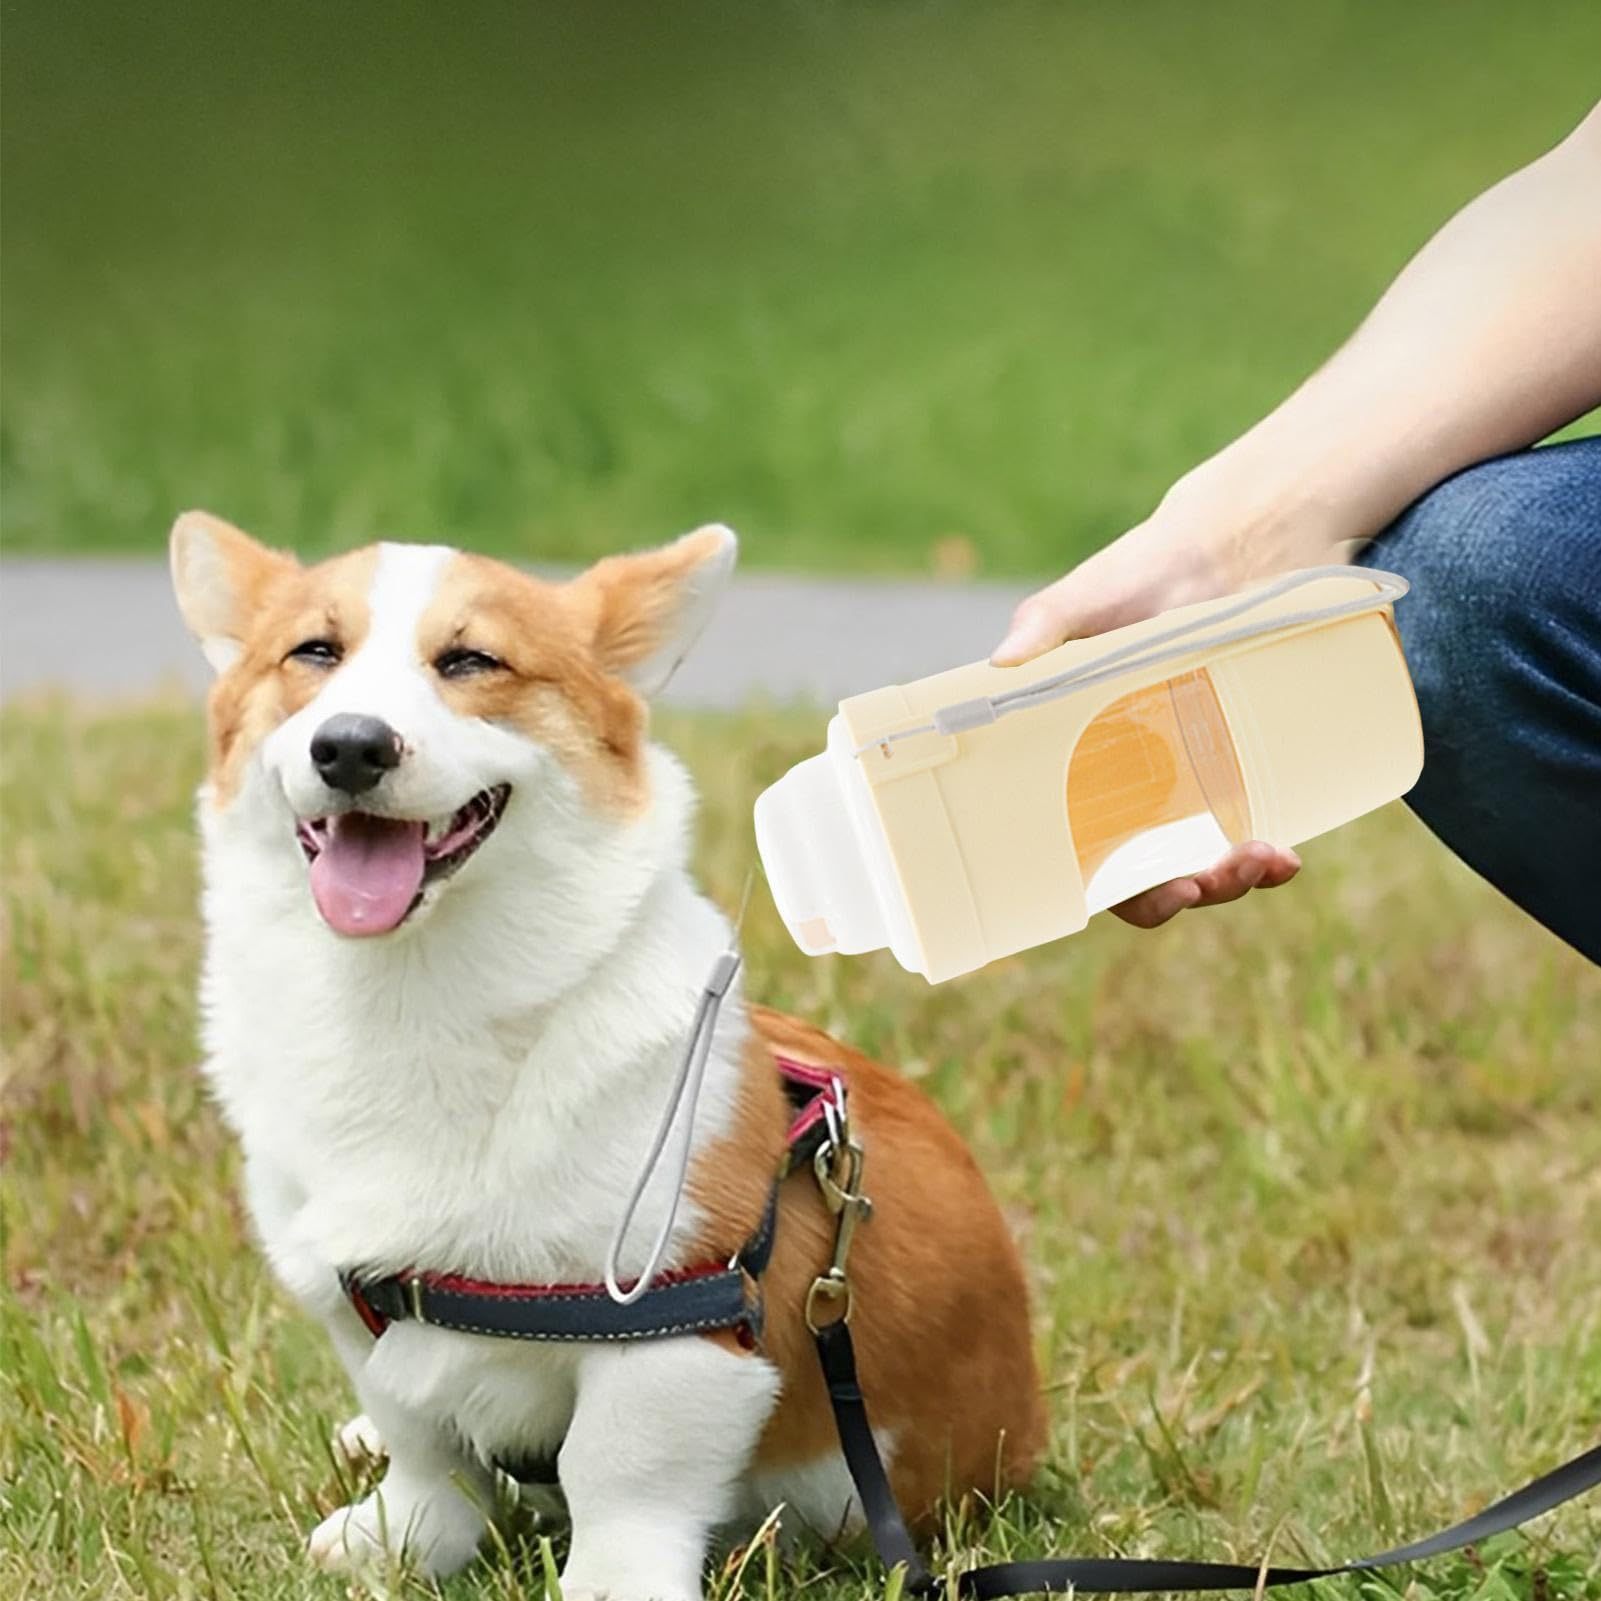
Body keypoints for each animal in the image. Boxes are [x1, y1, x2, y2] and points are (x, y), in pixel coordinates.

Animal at [175, 509, 1043, 1588]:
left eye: (470, 659)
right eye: (313, 653)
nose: (350, 746)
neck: (414, 994)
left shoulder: (675, 1322)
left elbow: (617, 1469)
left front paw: (607, 1581)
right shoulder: (354, 1304)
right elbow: (421, 1438)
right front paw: (402, 1537)